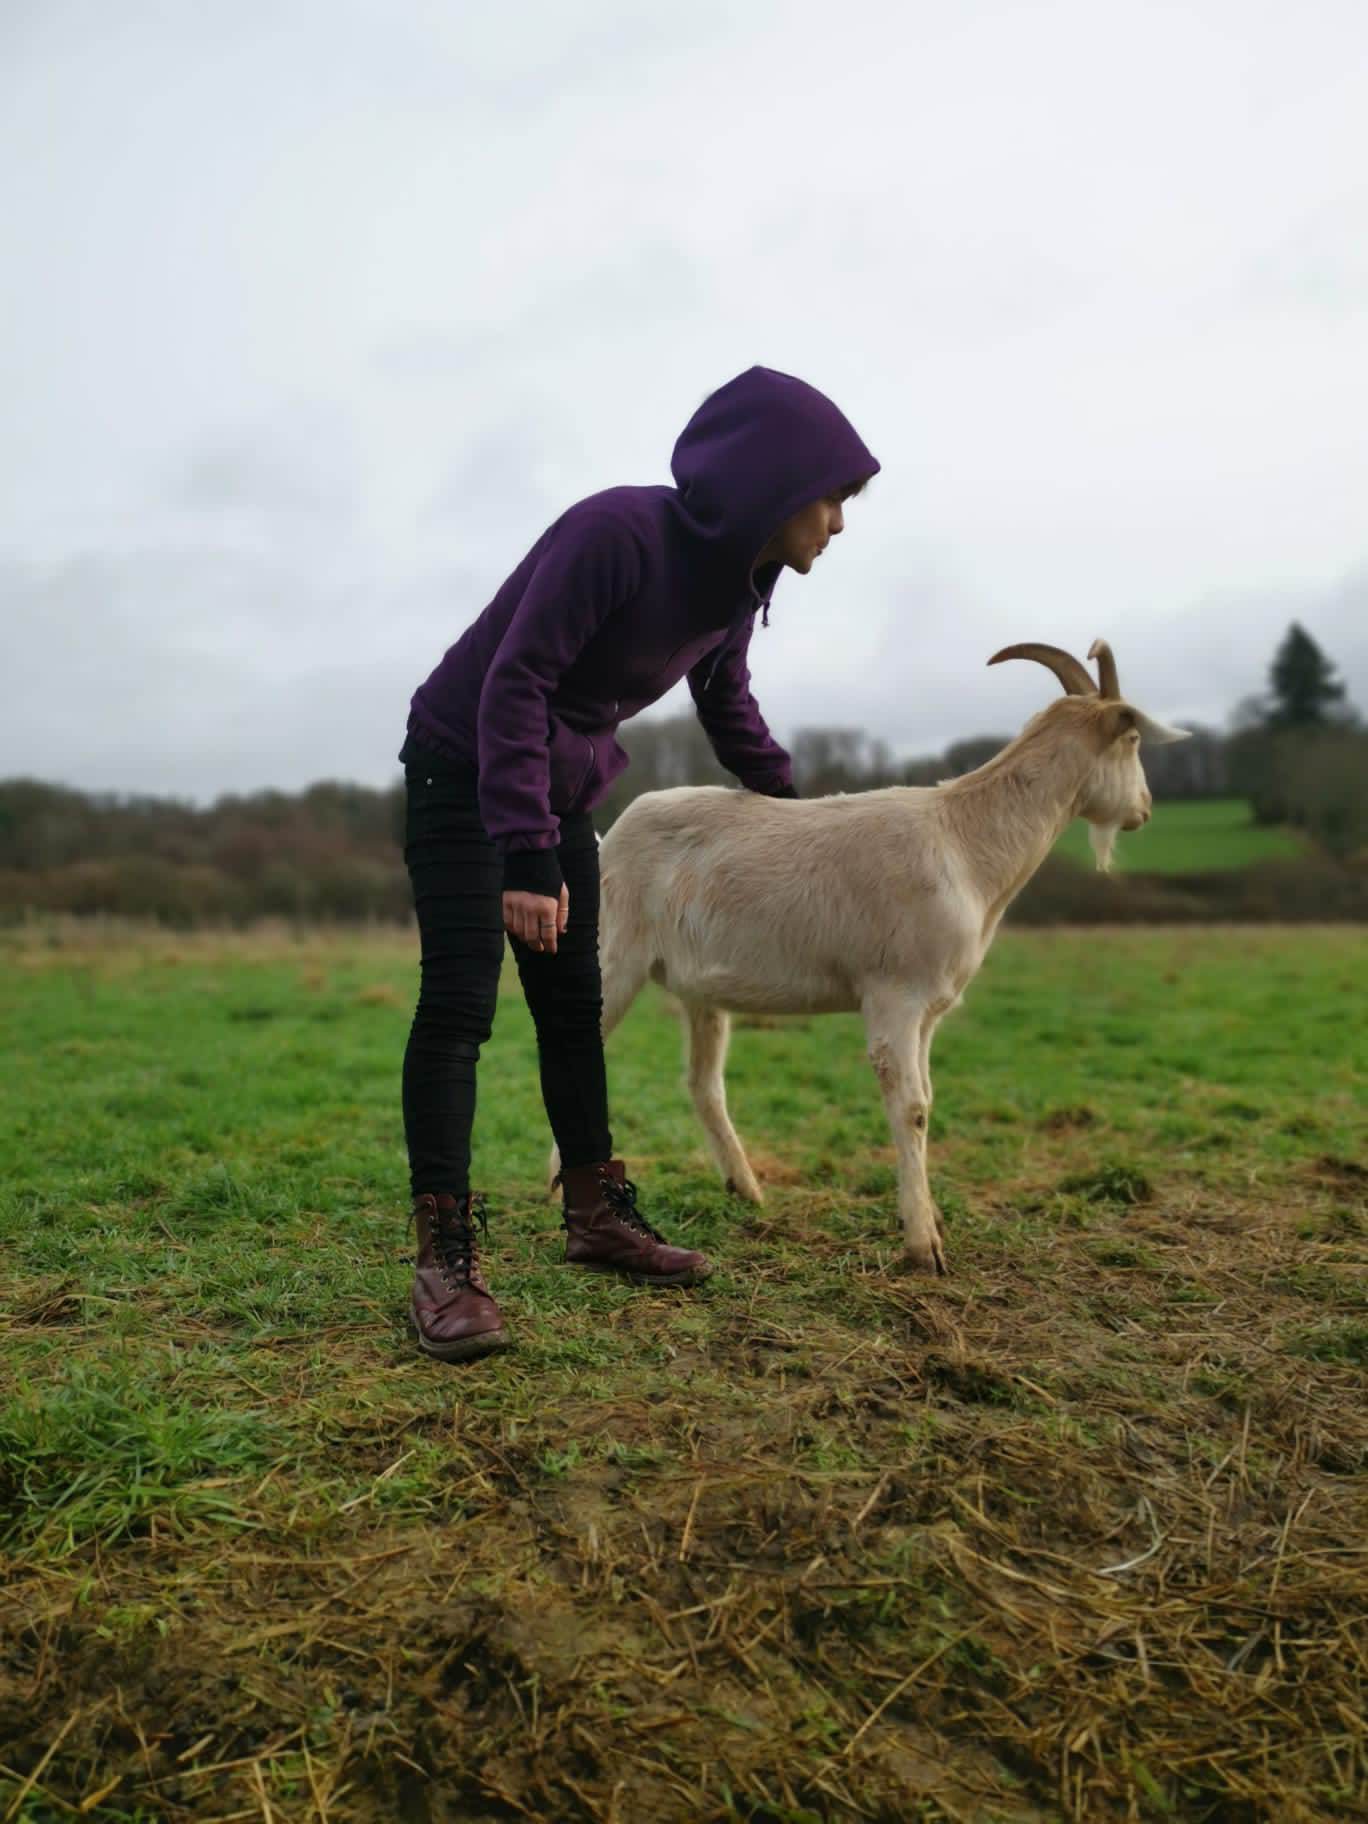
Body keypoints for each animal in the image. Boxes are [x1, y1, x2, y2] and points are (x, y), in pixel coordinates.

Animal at [558, 642, 1189, 1269]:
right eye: (1133, 739)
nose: (1145, 809)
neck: (965, 843)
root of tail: (610, 835)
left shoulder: (929, 1009)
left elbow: (928, 1099)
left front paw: (929, 1217)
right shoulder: (896, 995)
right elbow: (911, 1108)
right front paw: (922, 1245)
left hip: (700, 989)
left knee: (703, 1084)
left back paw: (745, 1187)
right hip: (612, 955)